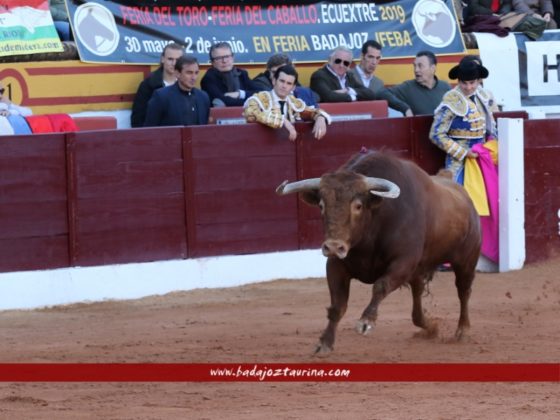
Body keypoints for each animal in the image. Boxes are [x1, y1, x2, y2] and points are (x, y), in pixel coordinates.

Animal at [276, 149, 482, 352]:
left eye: (358, 206)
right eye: (321, 205)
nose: (333, 246)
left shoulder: (403, 262)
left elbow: (380, 286)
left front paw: (366, 322)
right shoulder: (336, 265)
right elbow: (337, 306)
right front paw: (325, 342)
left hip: (466, 261)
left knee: (463, 291)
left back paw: (462, 331)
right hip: (419, 269)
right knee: (418, 292)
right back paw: (429, 326)